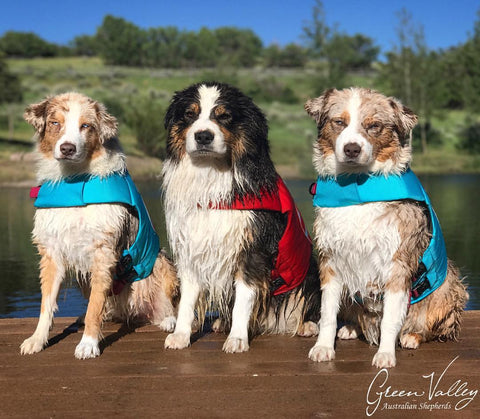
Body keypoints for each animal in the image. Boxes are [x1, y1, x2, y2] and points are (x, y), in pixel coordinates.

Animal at [19, 93, 179, 360]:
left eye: (86, 126)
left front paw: (88, 344)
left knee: (166, 306)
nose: (67, 148)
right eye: (55, 123)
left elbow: (95, 304)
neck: (74, 183)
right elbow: (46, 303)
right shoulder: (52, 252)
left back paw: (168, 320)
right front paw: (37, 340)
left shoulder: (102, 251)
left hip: (163, 263)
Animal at [162, 82, 322, 354]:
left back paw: (306, 325)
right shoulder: (191, 246)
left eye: (224, 115)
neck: (212, 177)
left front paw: (237, 339)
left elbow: (243, 299)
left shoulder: (252, 250)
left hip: (310, 270)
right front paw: (181, 335)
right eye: (190, 114)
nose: (203, 136)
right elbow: (187, 299)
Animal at [306, 88, 466, 368]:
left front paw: (385, 354)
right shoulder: (331, 259)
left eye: (374, 126)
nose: (351, 149)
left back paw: (412, 336)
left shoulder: (397, 264)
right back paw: (350, 329)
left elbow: (391, 318)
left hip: (450, 285)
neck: (357, 187)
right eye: (339, 122)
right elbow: (327, 313)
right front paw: (323, 347)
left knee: (428, 327)